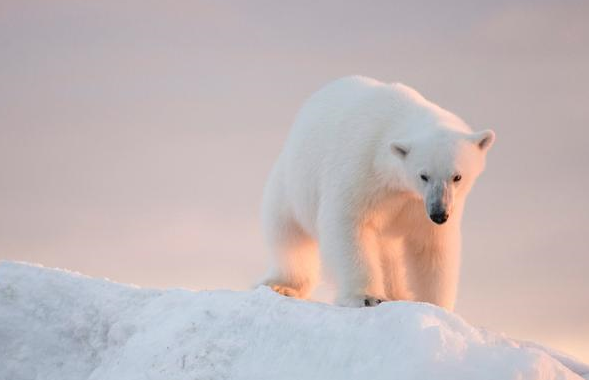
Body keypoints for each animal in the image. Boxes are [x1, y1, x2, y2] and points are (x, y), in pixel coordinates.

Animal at [260, 75, 494, 310]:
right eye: (423, 175)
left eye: (457, 176)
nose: (439, 214)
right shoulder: (361, 171)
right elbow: (348, 224)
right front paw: (367, 297)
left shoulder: (418, 205)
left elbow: (430, 246)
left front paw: (434, 305)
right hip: (291, 184)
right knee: (288, 236)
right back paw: (283, 285)